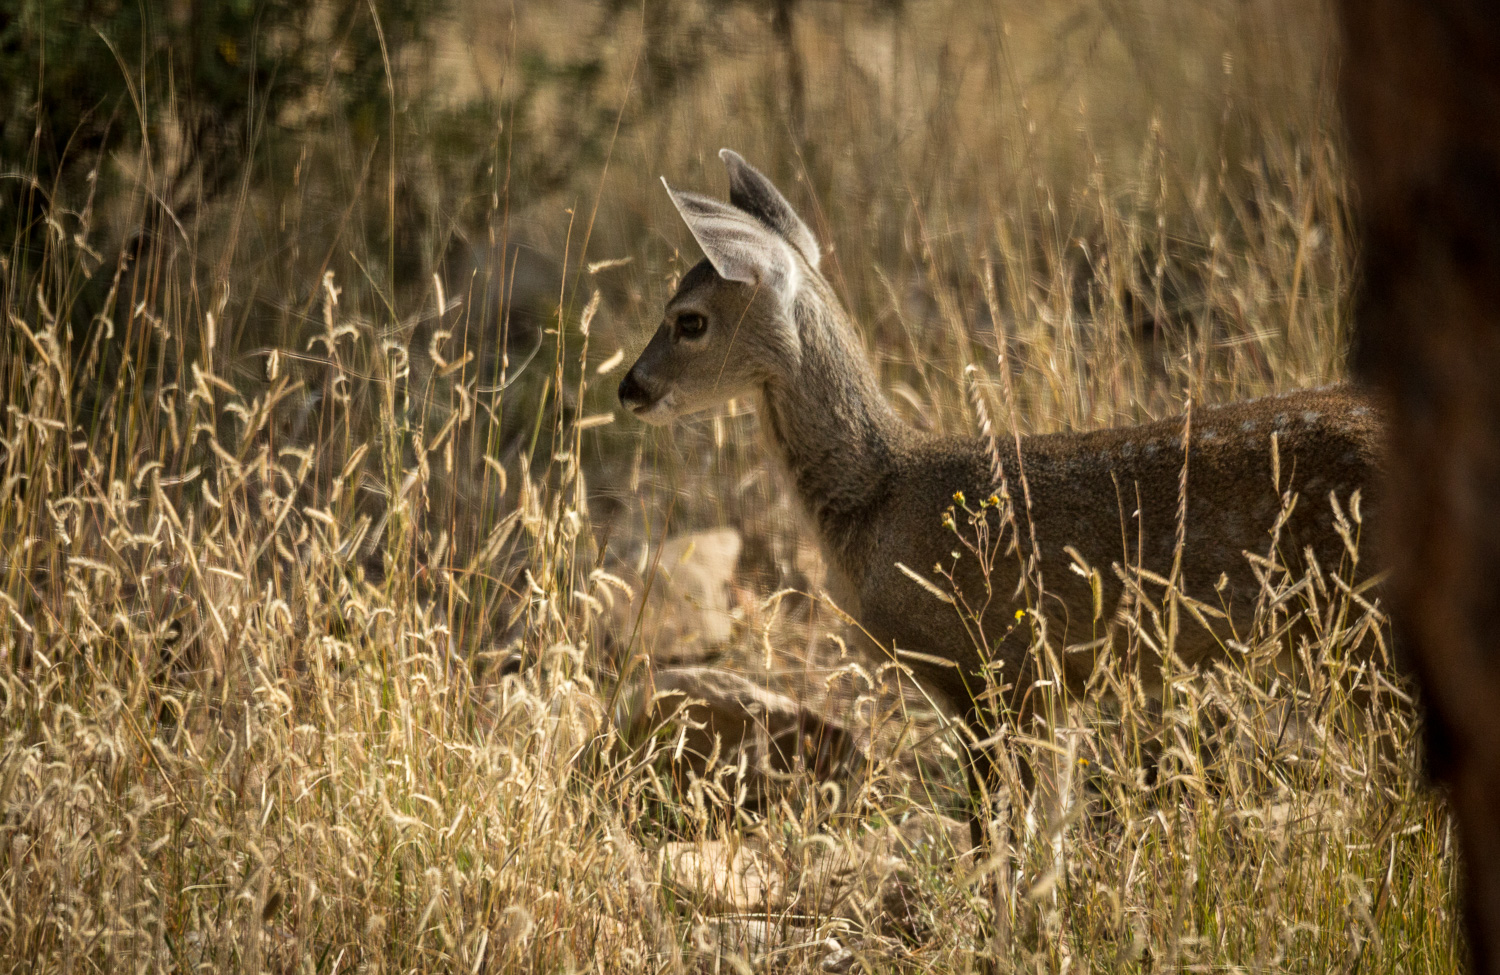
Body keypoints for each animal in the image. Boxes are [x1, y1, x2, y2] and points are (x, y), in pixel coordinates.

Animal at [619, 149, 1386, 846]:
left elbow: (996, 830)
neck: (877, 498)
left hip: (1360, 620)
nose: (629, 387)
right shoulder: (1043, 689)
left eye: (689, 320)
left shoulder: (990, 666)